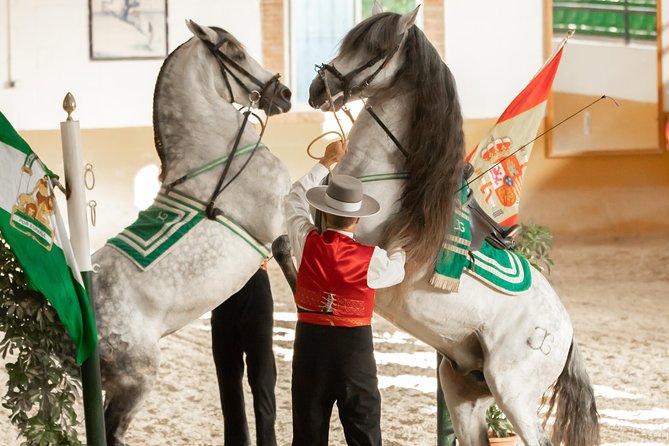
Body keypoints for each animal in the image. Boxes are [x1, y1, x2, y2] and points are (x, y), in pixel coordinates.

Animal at [92, 20, 293, 446]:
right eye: (236, 52)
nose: (283, 94)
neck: (214, 154)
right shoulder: (278, 222)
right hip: (136, 380)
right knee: (113, 431)